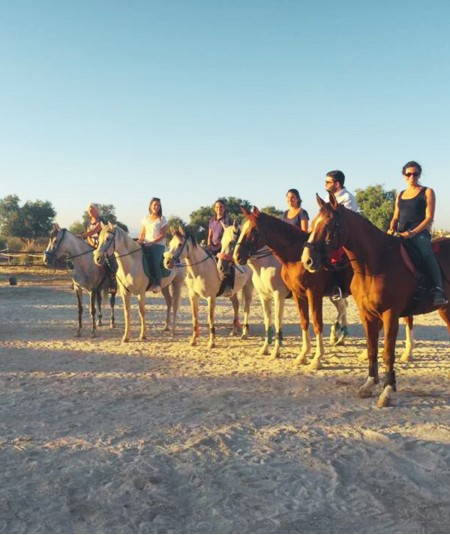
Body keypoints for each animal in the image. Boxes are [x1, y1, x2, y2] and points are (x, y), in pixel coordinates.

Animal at [232, 207, 352, 370]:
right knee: (342, 309)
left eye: (254, 230)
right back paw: (339, 338)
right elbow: (292, 321)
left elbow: (312, 323)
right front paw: (297, 354)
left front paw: (315, 358)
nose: (237, 257)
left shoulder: (305, 294)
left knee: (344, 310)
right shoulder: (281, 296)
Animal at [302, 195, 450, 408]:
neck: (375, 264)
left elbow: (388, 352)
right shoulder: (367, 315)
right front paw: (369, 385)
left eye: (330, 224)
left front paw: (387, 392)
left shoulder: (390, 315)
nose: (307, 260)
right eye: (313, 223)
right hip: (445, 309)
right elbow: (372, 349)